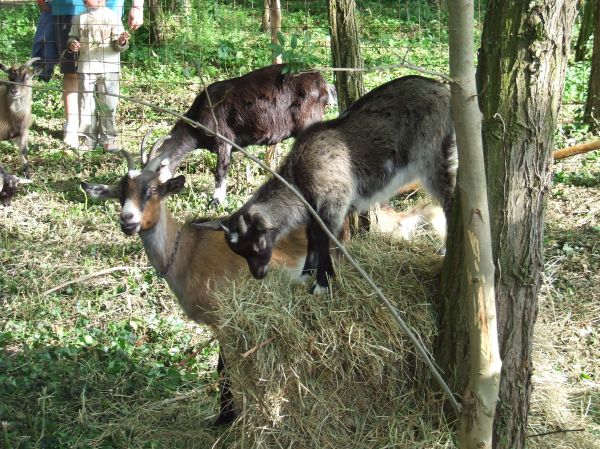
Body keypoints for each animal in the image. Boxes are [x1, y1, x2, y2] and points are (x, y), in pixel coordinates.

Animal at [199, 75, 458, 294]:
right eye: (239, 251)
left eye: (256, 243)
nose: (259, 274)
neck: (299, 180)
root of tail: (445, 92)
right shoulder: (315, 210)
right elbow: (311, 236)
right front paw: (306, 274)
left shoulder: (334, 202)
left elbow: (323, 238)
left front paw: (322, 283)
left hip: (434, 158)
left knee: (448, 200)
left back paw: (446, 248)